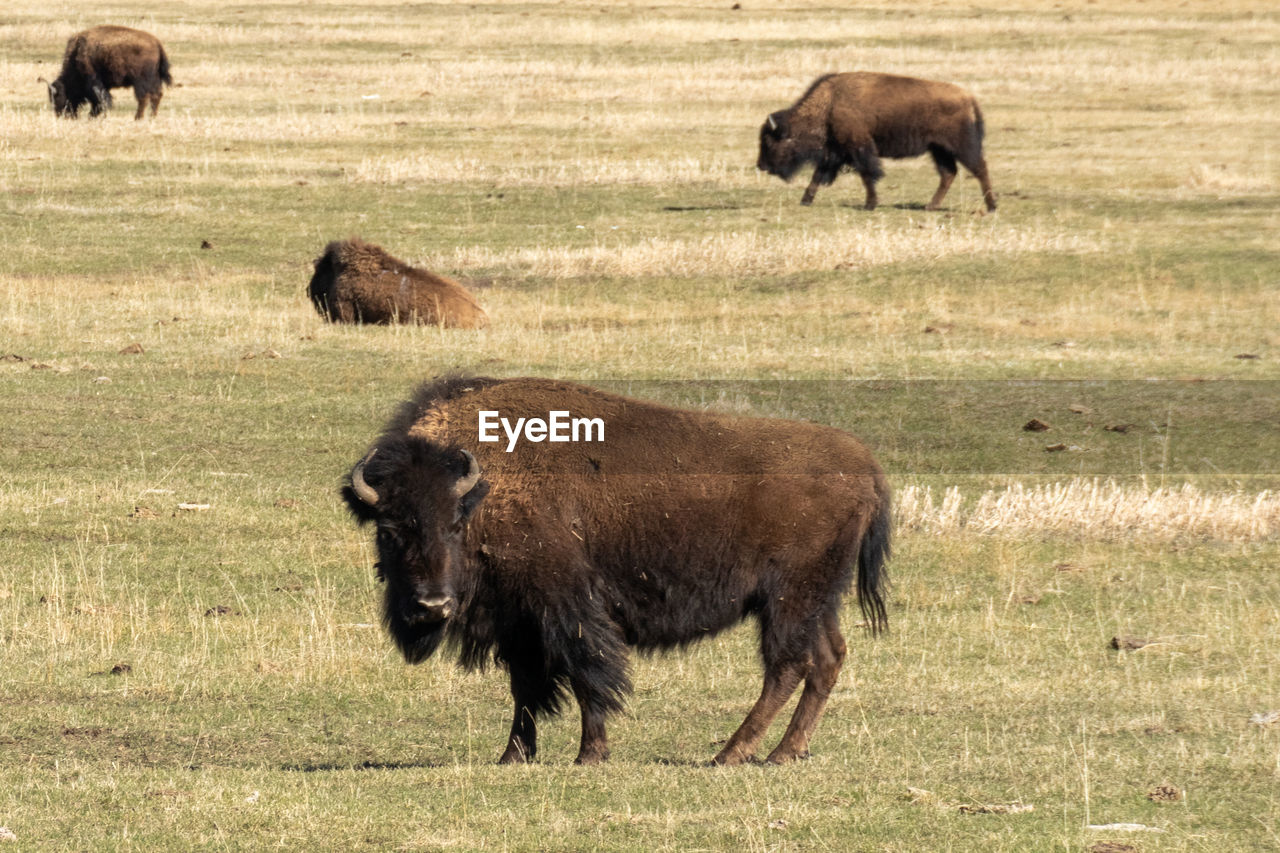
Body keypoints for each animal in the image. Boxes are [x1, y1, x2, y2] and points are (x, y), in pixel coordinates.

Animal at [43, 25, 171, 118]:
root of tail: (157, 44)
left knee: (144, 97)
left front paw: (92, 116)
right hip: (155, 79)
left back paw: (138, 117)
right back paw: (151, 117)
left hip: (141, 80)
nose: (61, 115)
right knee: (156, 95)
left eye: (59, 97)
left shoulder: (94, 82)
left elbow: (100, 100)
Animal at [345, 376, 896, 758]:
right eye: (388, 530)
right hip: (818, 599)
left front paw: (590, 754)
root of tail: (867, 467)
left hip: (788, 598)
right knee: (826, 660)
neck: (485, 490)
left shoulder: (565, 608)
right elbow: (526, 689)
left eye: (455, 525)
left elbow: (589, 675)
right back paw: (785, 753)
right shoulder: (518, 623)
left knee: (787, 667)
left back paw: (731, 754)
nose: (431, 605)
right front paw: (514, 756)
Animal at [757, 73, 998, 212]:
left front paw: (870, 204)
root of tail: (969, 98)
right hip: (938, 149)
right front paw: (806, 200)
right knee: (948, 173)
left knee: (980, 168)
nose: (761, 165)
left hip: (961, 146)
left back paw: (992, 206)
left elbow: (867, 175)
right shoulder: (836, 152)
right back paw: (931, 206)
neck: (830, 103)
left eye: (769, 142)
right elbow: (818, 174)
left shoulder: (858, 148)